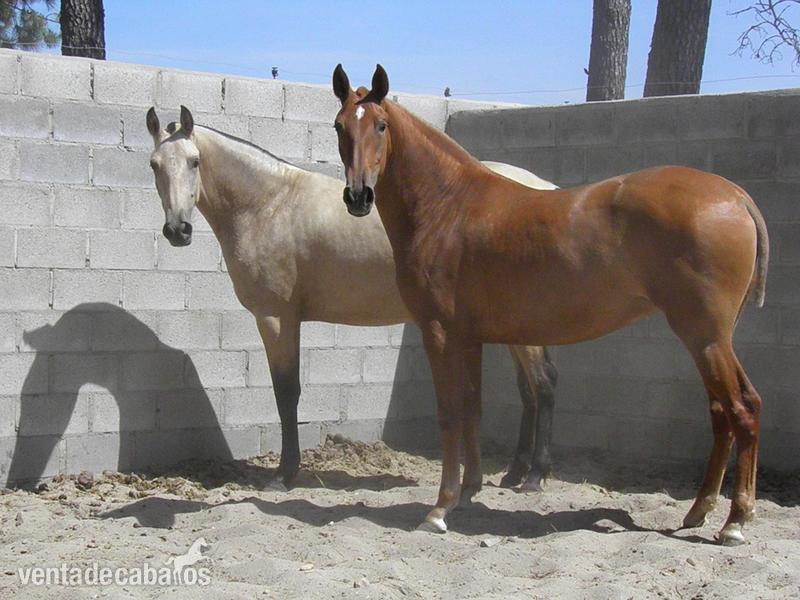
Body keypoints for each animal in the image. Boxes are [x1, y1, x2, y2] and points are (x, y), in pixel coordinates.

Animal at [145, 106, 559, 491]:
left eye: (194, 161)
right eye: (154, 165)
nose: (178, 230)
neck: (267, 204)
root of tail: (547, 190)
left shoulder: (275, 318)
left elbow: (286, 393)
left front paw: (284, 474)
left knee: (542, 385)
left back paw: (535, 476)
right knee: (529, 391)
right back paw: (515, 472)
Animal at [331, 64, 769, 546]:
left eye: (381, 126)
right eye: (339, 126)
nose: (357, 196)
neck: (448, 206)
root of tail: (734, 197)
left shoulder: (440, 333)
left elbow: (450, 414)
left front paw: (440, 509)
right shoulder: (470, 338)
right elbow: (472, 409)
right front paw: (468, 493)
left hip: (704, 336)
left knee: (742, 409)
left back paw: (735, 521)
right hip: (707, 339)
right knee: (722, 414)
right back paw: (699, 510)